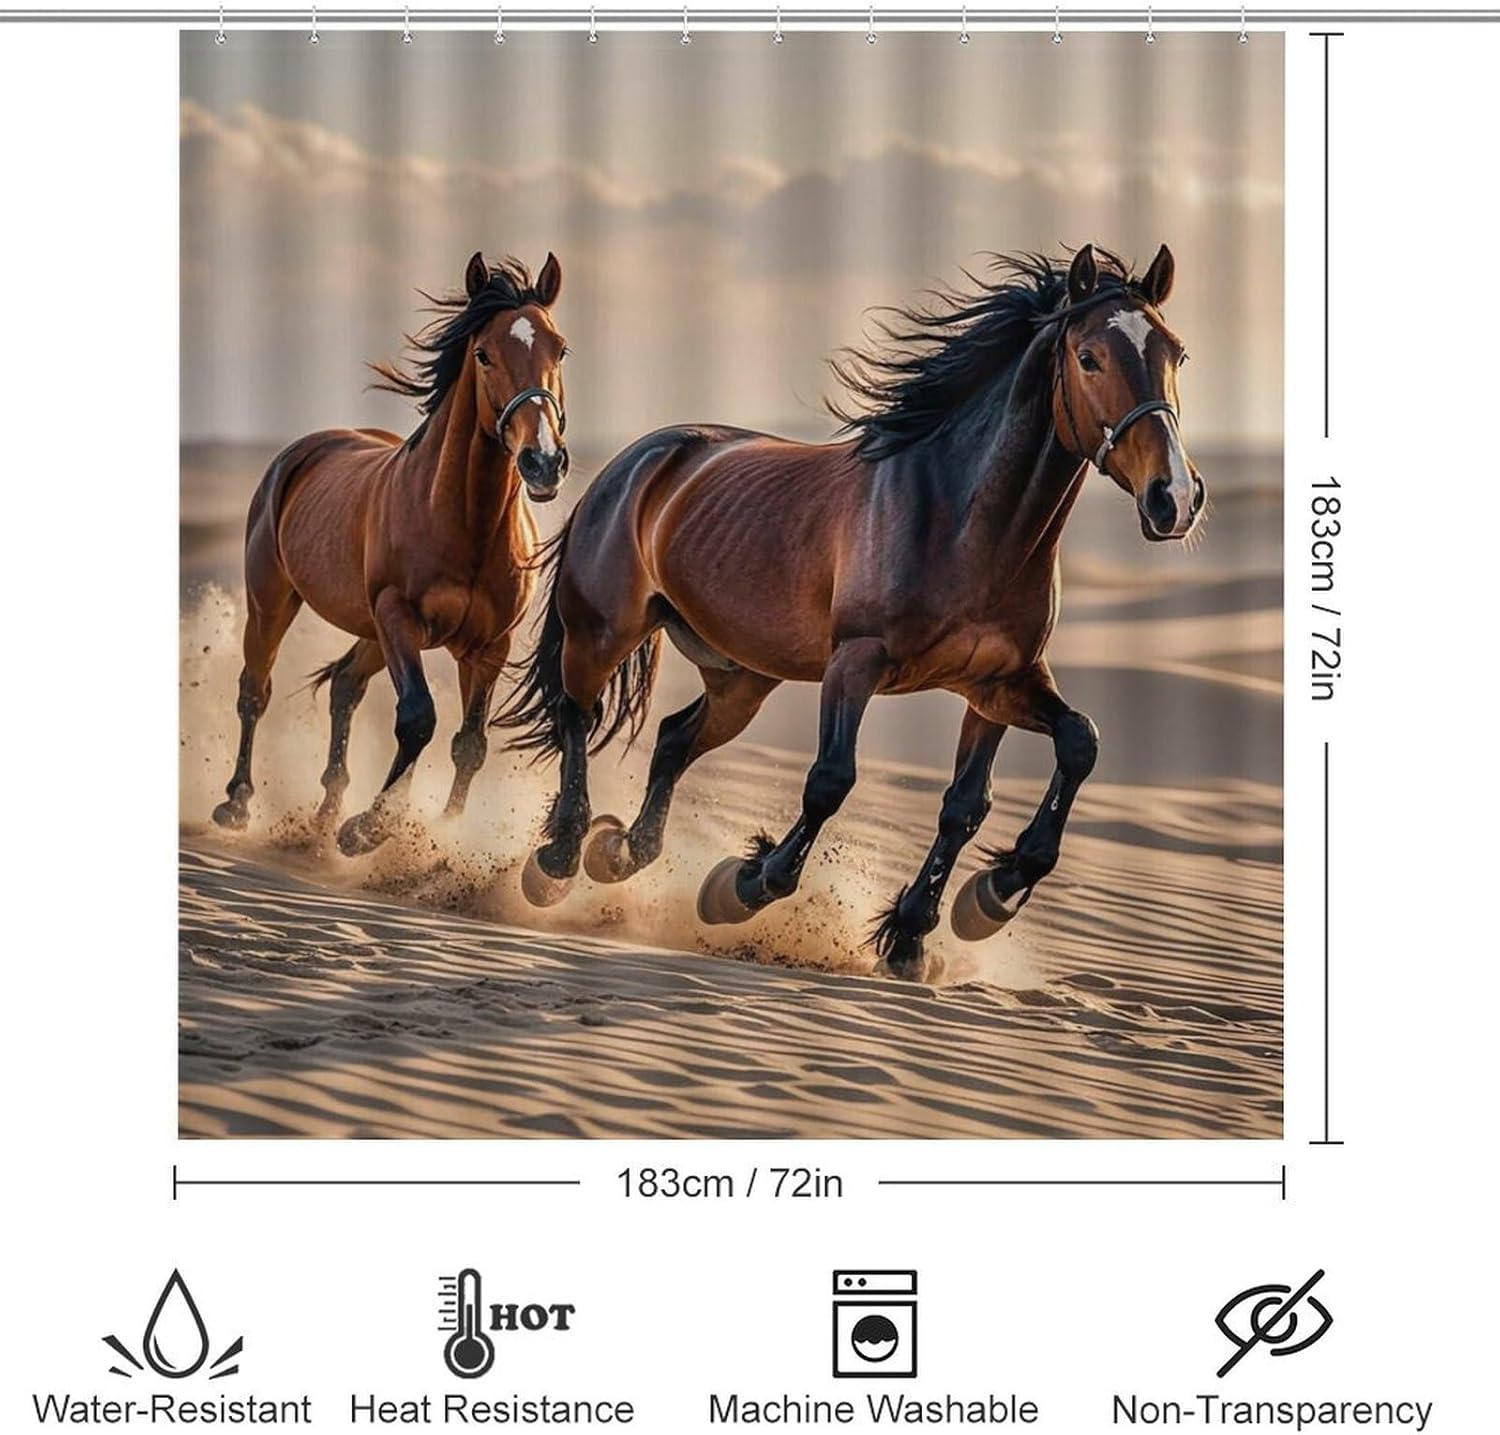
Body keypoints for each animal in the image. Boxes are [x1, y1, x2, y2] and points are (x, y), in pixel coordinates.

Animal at [210, 251, 571, 855]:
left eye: (560, 348)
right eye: (483, 354)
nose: (543, 462)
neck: (465, 525)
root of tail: (304, 449)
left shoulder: (489, 646)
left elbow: (469, 743)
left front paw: (441, 838)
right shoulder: (400, 618)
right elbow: (418, 719)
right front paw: (371, 827)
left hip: (369, 631)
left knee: (344, 686)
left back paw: (325, 813)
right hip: (273, 601)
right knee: (254, 690)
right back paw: (237, 804)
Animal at [493, 244, 1202, 978]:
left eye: (1176, 354)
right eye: (1089, 357)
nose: (1174, 498)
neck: (964, 520)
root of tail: (634, 461)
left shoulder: (998, 685)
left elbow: (1024, 773)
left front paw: (962, 911)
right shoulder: (856, 664)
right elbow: (831, 780)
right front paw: (744, 884)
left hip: (742, 676)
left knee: (672, 739)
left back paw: (618, 854)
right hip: (602, 633)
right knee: (577, 717)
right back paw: (556, 862)